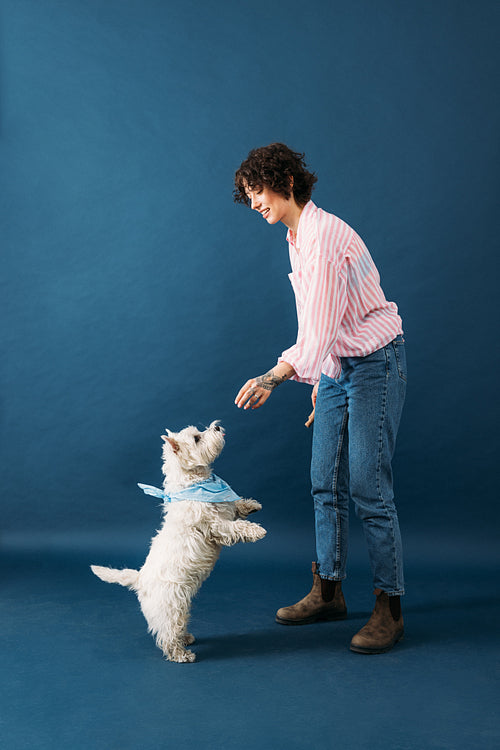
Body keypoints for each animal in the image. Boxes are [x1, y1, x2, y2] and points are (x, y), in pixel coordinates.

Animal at [92, 424, 268, 664]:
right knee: (168, 634)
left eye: (200, 431)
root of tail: (140, 579)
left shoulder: (225, 511)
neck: (195, 483)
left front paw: (252, 505)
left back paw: (186, 638)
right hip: (171, 606)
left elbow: (236, 506)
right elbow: (235, 527)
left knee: (178, 626)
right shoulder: (216, 526)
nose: (217, 426)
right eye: (196, 438)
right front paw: (257, 530)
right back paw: (181, 654)